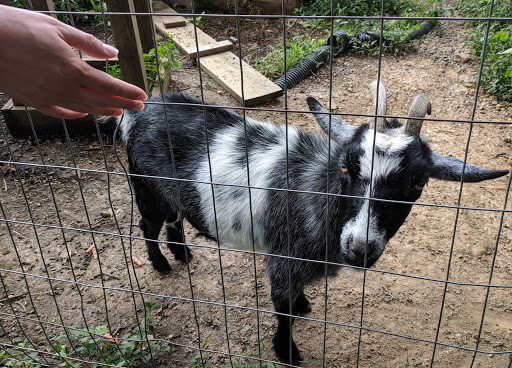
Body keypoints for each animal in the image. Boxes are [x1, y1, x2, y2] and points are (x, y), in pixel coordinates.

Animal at [119, 80, 508, 366]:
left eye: (418, 183)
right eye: (347, 166)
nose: (358, 249)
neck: (319, 194)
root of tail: (143, 110)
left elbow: (293, 300)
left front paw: (303, 305)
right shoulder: (283, 260)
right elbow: (281, 307)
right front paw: (287, 351)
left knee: (174, 218)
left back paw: (181, 253)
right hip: (147, 187)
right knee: (147, 225)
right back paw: (161, 263)